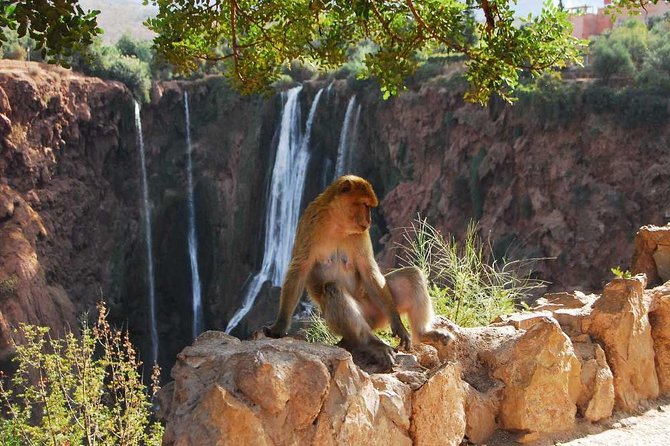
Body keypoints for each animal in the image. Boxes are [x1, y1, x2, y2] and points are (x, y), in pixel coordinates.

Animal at [263, 175, 452, 370]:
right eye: (365, 205)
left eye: (370, 207)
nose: (369, 220)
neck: (337, 224)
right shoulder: (309, 224)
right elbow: (300, 268)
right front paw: (280, 326)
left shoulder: (361, 235)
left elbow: (368, 270)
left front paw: (399, 325)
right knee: (333, 289)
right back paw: (372, 343)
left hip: (376, 306)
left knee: (411, 275)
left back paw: (422, 333)